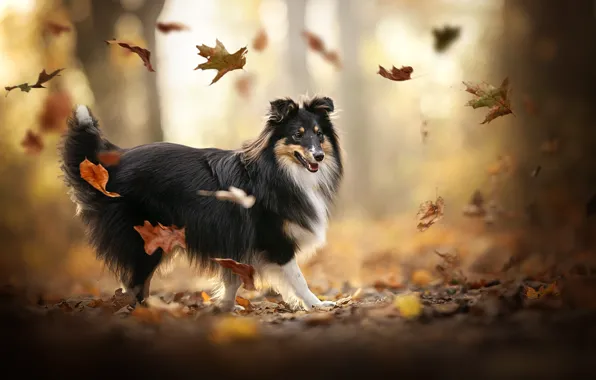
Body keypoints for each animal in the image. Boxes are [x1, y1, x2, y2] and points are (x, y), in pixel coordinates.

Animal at [60, 95, 344, 312]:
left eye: (319, 135)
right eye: (297, 135)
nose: (319, 155)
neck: (276, 169)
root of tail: (110, 164)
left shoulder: (237, 242)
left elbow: (233, 280)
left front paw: (227, 308)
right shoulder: (274, 241)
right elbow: (298, 279)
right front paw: (318, 305)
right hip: (145, 240)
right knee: (136, 283)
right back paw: (147, 312)